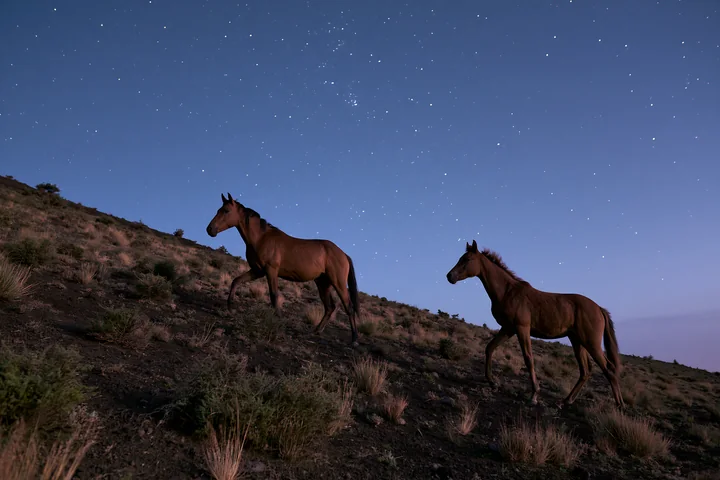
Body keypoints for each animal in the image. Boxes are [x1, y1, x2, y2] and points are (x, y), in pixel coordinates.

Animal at [206, 193, 361, 346]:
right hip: (323, 283)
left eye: (226, 211)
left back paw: (354, 339)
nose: (210, 230)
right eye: (219, 210)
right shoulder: (257, 271)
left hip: (338, 283)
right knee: (329, 307)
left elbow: (274, 295)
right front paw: (230, 307)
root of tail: (343, 254)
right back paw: (316, 331)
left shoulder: (271, 271)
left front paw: (278, 319)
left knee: (348, 307)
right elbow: (236, 281)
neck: (261, 238)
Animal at [446, 240, 624, 408]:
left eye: (467, 259)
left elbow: (528, 359)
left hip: (590, 342)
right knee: (585, 372)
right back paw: (565, 401)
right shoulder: (508, 329)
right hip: (577, 341)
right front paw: (492, 382)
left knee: (608, 369)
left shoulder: (522, 328)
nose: (449, 276)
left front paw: (534, 396)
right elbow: (490, 348)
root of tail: (599, 308)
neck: (508, 292)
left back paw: (619, 405)